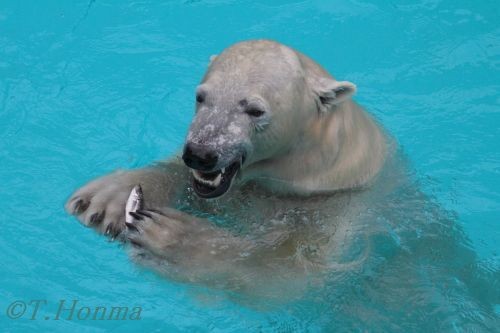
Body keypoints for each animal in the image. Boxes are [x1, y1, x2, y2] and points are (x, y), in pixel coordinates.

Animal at [65, 39, 386, 290]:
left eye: (255, 110)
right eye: (201, 96)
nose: (200, 153)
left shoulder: (337, 209)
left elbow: (283, 272)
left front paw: (170, 234)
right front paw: (105, 201)